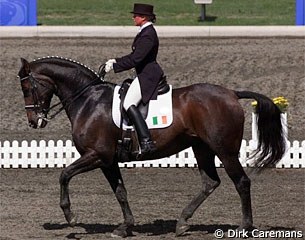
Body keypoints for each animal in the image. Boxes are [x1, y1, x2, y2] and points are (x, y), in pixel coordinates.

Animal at [17, 56, 284, 238]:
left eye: (27, 88)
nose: (34, 121)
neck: (88, 100)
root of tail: (231, 92)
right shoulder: (108, 161)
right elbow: (120, 192)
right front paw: (124, 227)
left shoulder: (97, 155)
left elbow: (64, 175)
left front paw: (71, 216)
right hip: (202, 148)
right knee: (210, 182)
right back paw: (182, 222)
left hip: (224, 150)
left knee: (241, 182)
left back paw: (244, 227)